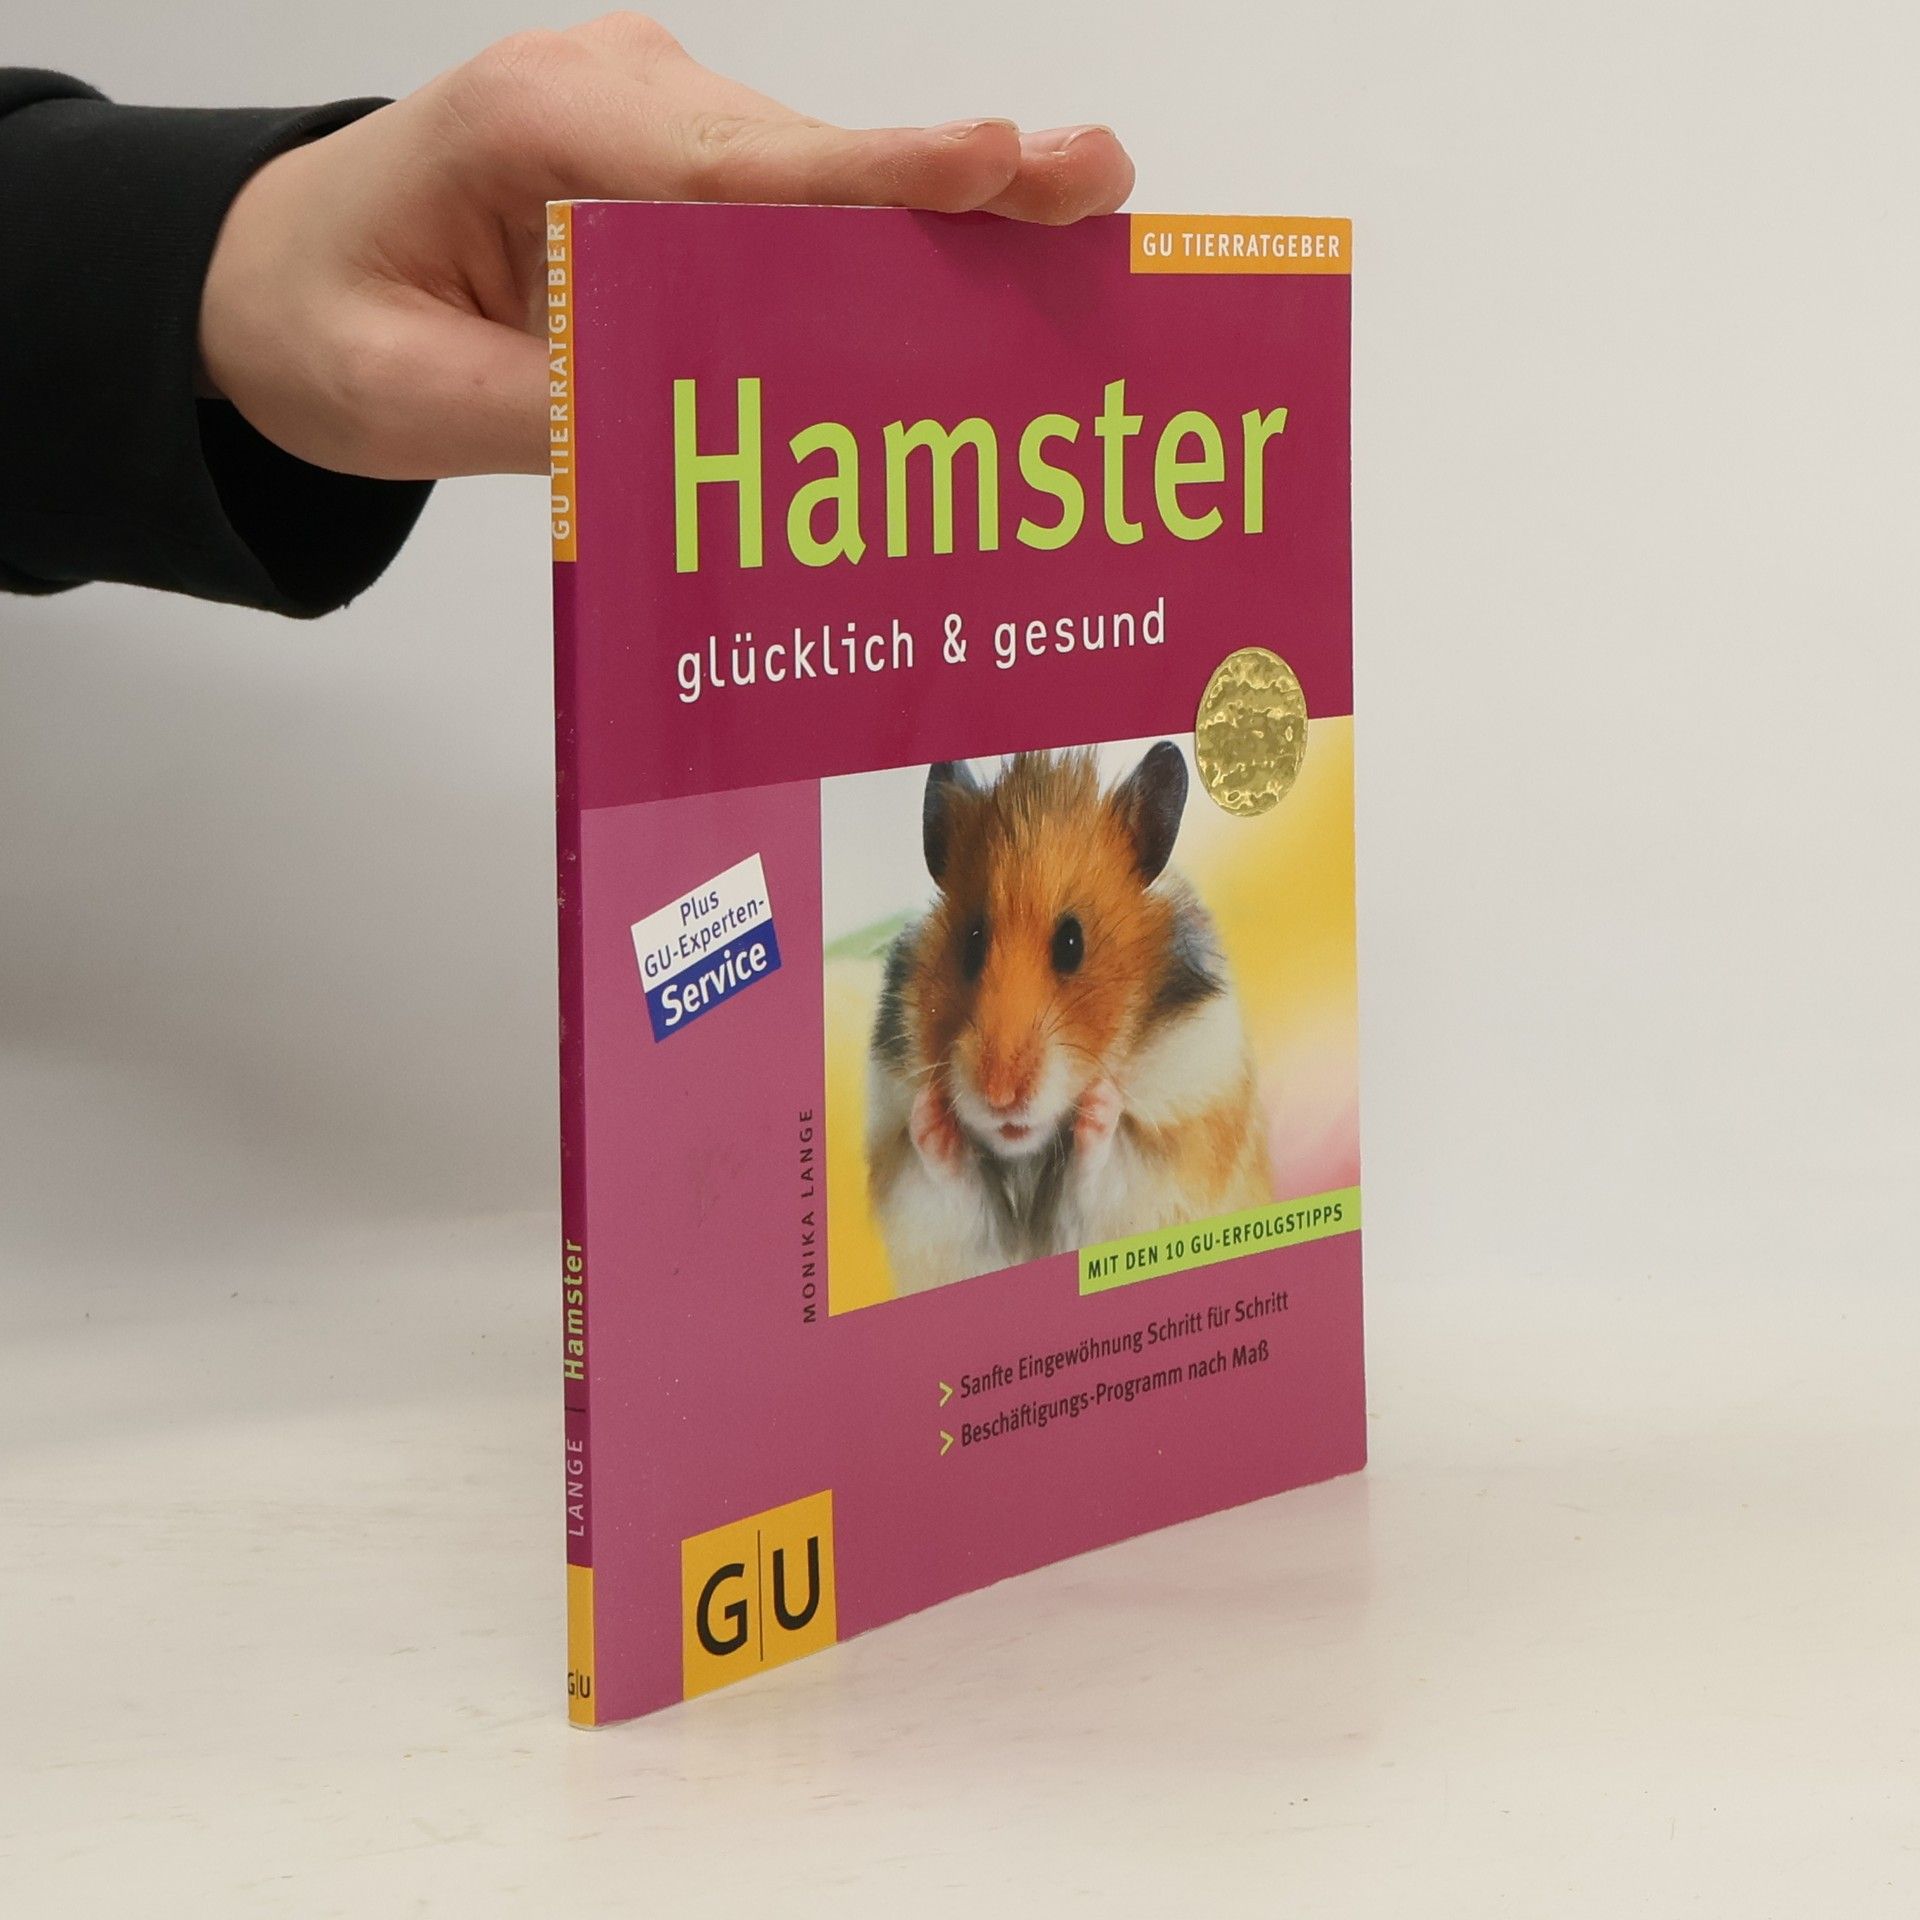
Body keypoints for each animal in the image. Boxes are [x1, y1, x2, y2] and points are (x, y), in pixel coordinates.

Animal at [866, 741, 1274, 1294]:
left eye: (1071, 943)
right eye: (972, 943)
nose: (1000, 1096)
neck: (1028, 1156)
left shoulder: (1173, 1156)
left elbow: (1101, 1167)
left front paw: (1101, 1101)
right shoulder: (929, 1217)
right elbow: (946, 1180)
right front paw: (930, 1114)